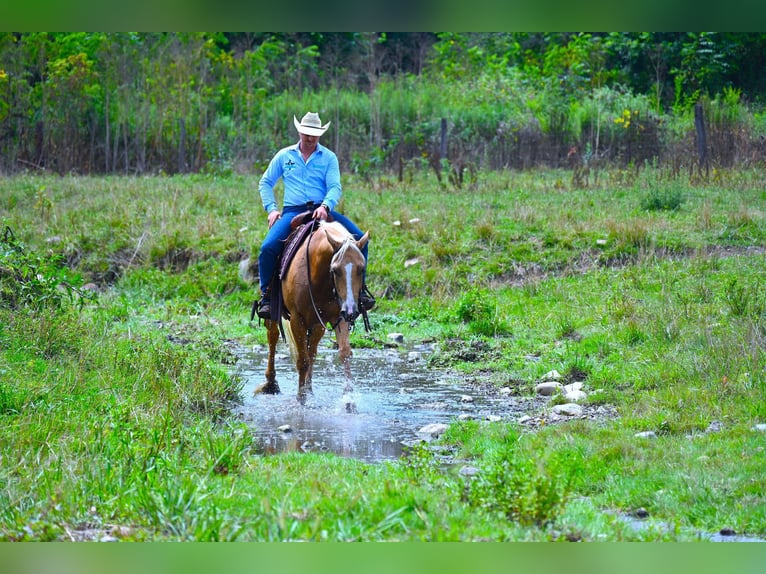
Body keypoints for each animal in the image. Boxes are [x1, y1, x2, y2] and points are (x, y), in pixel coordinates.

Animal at [255, 220, 368, 404]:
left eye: (362, 269)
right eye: (335, 270)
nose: (352, 310)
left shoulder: (338, 316)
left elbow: (344, 353)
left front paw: (349, 402)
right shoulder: (297, 319)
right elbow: (302, 361)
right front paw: (301, 400)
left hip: (317, 324)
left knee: (312, 352)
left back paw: (309, 388)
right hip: (274, 314)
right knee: (273, 338)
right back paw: (271, 384)